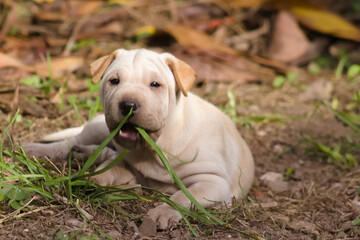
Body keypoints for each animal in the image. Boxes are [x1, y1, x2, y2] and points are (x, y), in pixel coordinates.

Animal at [22, 48, 255, 229]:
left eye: (155, 84)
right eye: (114, 81)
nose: (128, 105)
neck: (157, 145)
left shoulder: (213, 182)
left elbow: (182, 196)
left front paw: (163, 212)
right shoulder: (127, 164)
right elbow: (108, 169)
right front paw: (92, 179)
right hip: (99, 129)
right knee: (73, 141)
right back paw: (35, 149)